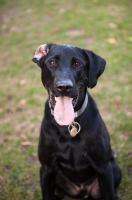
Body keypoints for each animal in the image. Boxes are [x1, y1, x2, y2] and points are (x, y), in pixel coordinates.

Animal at [32, 43, 121, 199]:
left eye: (78, 64)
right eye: (52, 62)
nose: (64, 87)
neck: (67, 127)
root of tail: (82, 191)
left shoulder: (104, 167)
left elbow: (109, 194)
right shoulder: (46, 168)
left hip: (115, 170)